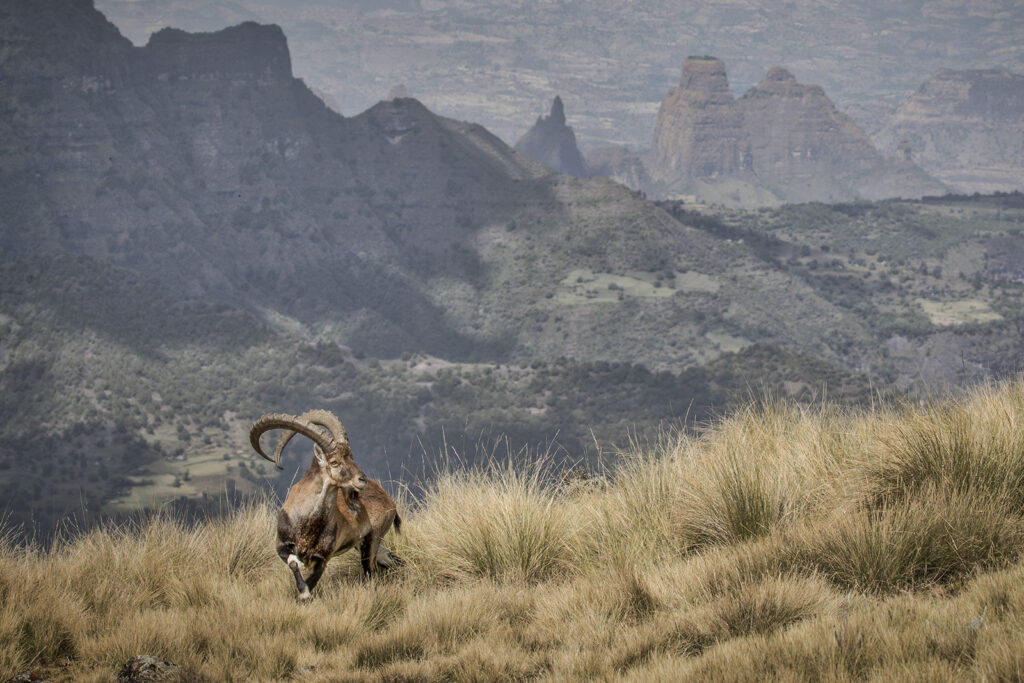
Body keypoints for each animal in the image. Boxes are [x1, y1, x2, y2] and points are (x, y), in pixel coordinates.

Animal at [249, 409, 401, 600]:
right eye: (334, 462)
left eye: (351, 457)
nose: (361, 480)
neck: (307, 522)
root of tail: (389, 501)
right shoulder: (281, 544)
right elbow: (294, 562)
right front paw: (303, 592)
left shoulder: (322, 557)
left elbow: (311, 580)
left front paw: (304, 594)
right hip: (373, 545)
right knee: (392, 561)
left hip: (373, 540)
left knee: (371, 570)